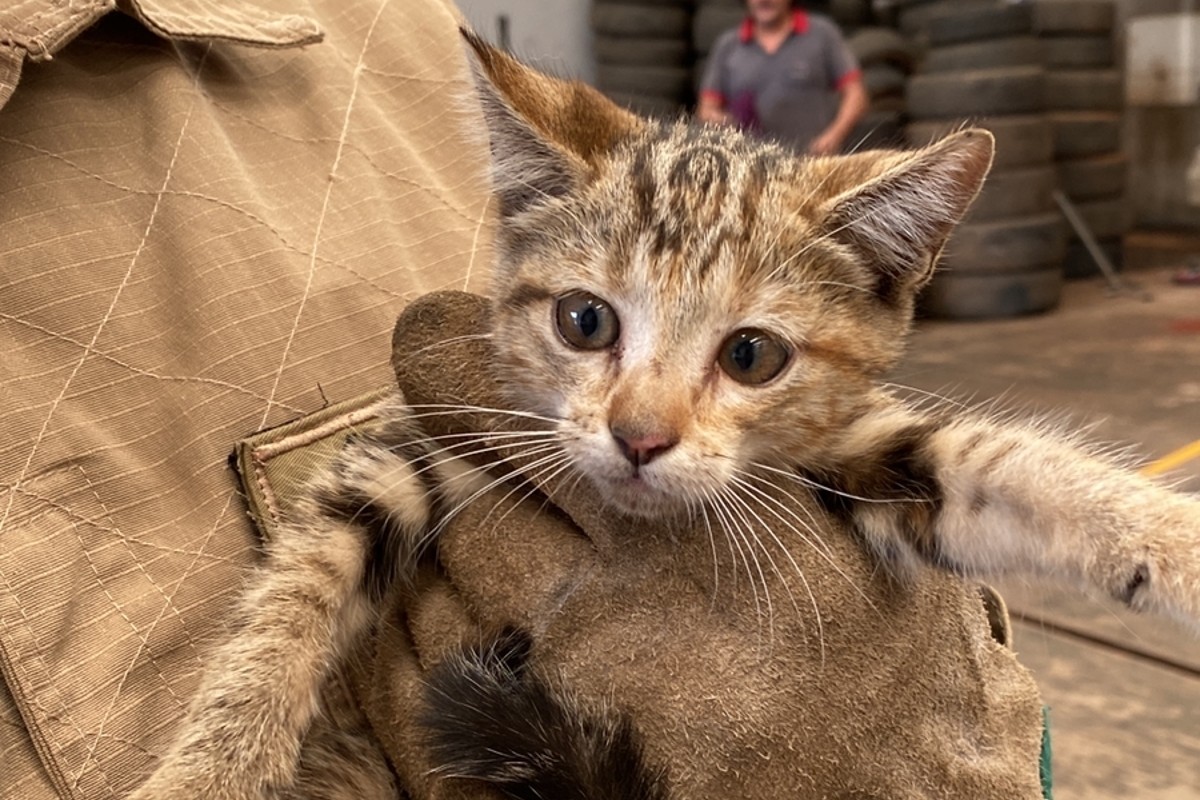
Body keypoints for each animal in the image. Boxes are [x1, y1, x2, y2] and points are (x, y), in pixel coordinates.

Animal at [131, 31, 1200, 800]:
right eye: (584, 319)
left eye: (752, 356)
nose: (638, 437)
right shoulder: (434, 440)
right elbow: (301, 580)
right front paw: (209, 767)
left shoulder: (848, 444)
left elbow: (997, 468)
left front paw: (1166, 539)